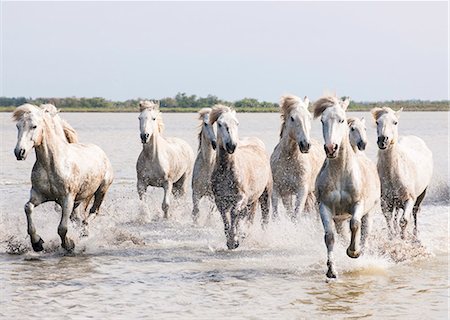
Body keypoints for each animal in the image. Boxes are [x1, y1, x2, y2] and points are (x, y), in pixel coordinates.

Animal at [13, 104, 114, 251]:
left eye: (34, 126)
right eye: (18, 126)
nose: (19, 152)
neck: (51, 165)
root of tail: (101, 152)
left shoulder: (67, 199)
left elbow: (62, 228)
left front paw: (69, 244)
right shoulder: (39, 195)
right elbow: (28, 207)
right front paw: (37, 243)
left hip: (101, 190)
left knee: (92, 213)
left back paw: (84, 231)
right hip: (82, 199)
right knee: (79, 218)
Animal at [314, 95, 382, 278]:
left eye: (341, 120)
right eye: (322, 120)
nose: (331, 148)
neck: (340, 174)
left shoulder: (358, 204)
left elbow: (355, 225)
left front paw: (353, 252)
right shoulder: (325, 207)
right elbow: (329, 237)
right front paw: (331, 270)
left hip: (370, 213)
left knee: (365, 233)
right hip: (338, 219)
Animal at [372, 107, 432, 238]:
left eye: (395, 122)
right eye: (377, 122)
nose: (383, 140)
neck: (393, 173)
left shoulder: (409, 199)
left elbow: (404, 221)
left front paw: (403, 238)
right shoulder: (386, 202)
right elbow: (389, 220)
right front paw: (393, 237)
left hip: (421, 194)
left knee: (414, 213)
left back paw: (415, 236)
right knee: (396, 216)